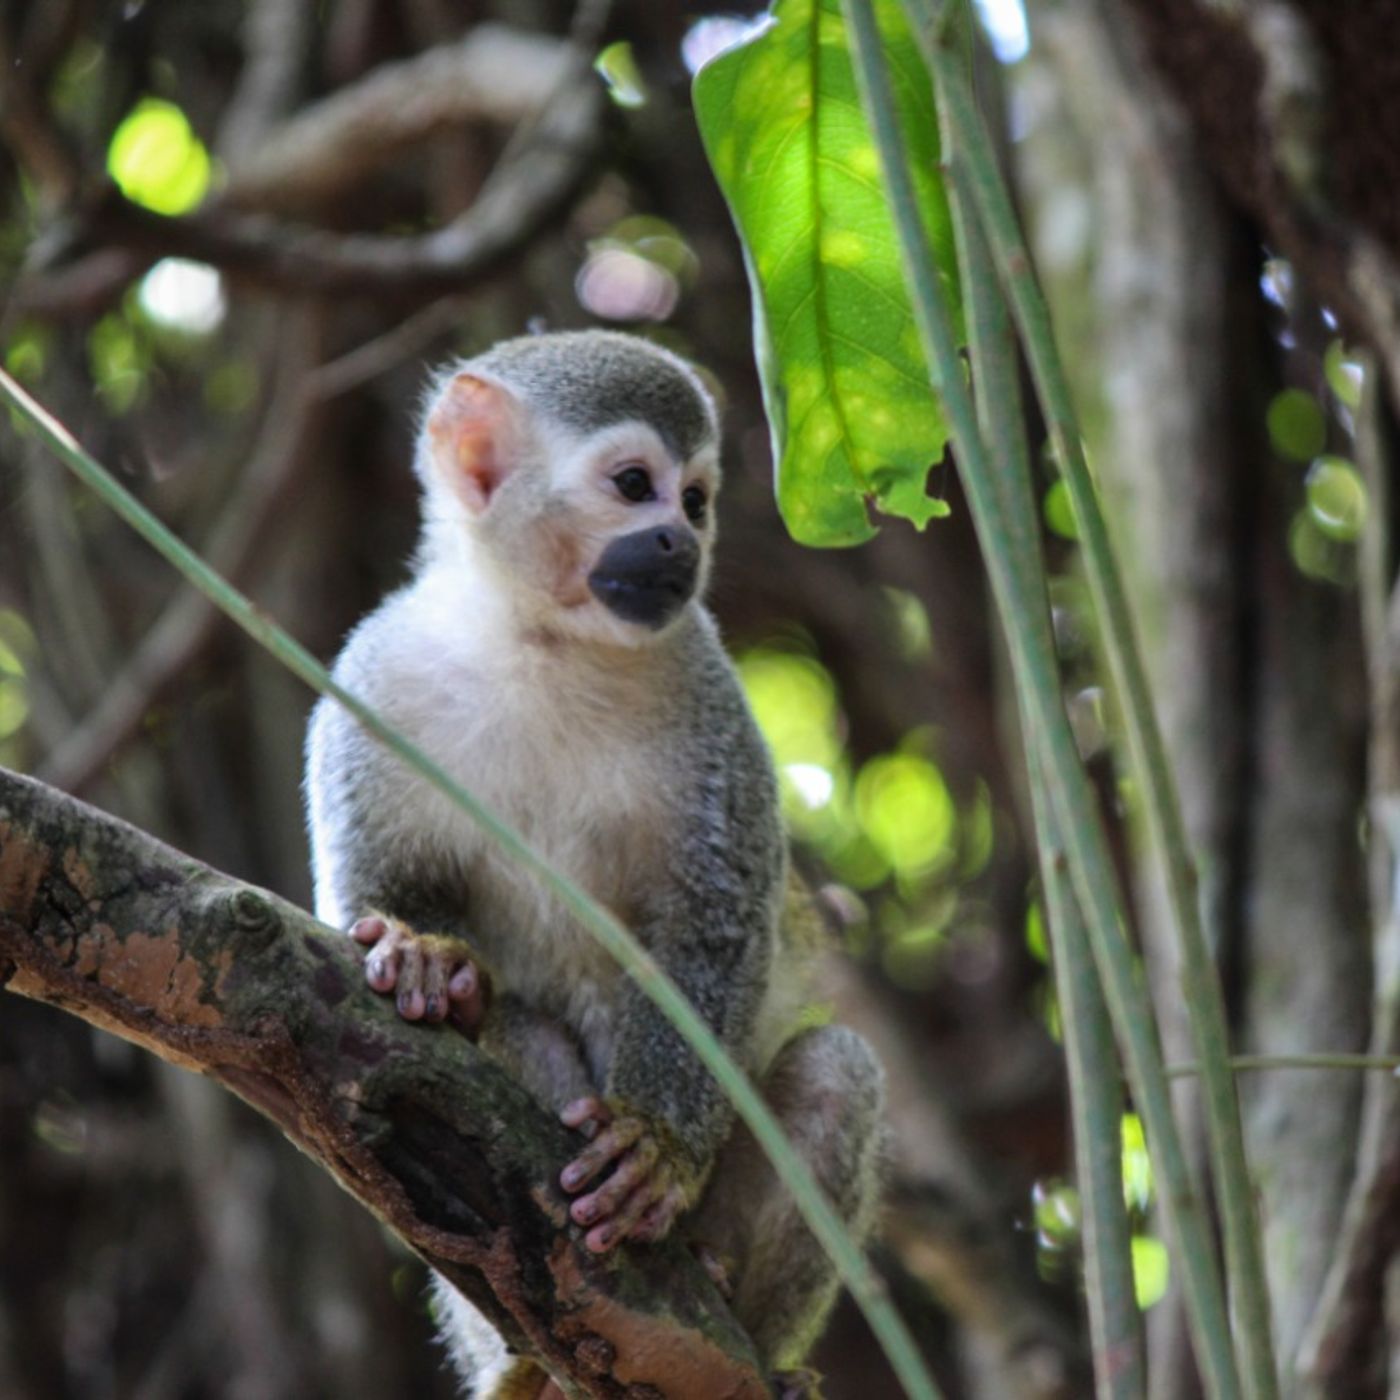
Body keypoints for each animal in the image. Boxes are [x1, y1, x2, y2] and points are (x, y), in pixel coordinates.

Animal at [303, 330, 884, 1400]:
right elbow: (360, 907)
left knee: (837, 1073)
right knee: (515, 1029)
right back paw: (528, 1357)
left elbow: (713, 931)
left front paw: (656, 1143)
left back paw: (745, 1321)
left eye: (695, 500)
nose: (679, 544)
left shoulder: (710, 694)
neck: (544, 643)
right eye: (633, 486)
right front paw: (421, 954)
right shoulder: (372, 679)